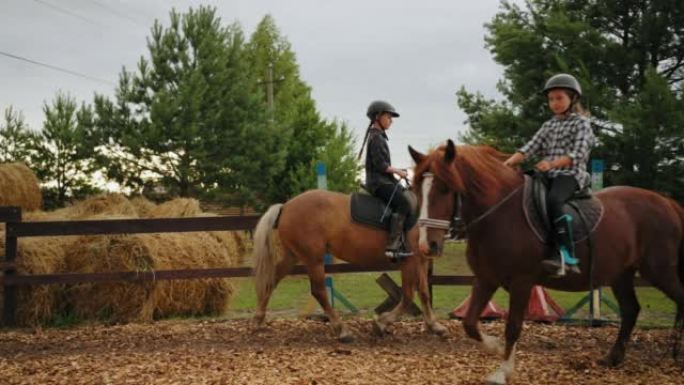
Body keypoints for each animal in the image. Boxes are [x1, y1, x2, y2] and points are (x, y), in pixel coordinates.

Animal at [248, 188, 446, 340]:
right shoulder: (409, 262)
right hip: (314, 259)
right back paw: (341, 330)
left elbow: (424, 293)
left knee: (271, 281)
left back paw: (258, 320)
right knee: (319, 291)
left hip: (293, 256)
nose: (435, 246)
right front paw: (381, 324)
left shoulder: (420, 262)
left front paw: (435, 326)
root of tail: (286, 206)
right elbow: (407, 296)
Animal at [408, 141, 684, 384]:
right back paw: (613, 358)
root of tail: (668, 202)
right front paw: (495, 348)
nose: (426, 245)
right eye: (418, 188)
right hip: (622, 274)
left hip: (659, 271)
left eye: (445, 188)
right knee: (630, 310)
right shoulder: (486, 279)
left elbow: (513, 326)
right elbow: (469, 323)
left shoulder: (521, 283)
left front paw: (503, 372)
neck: (500, 214)